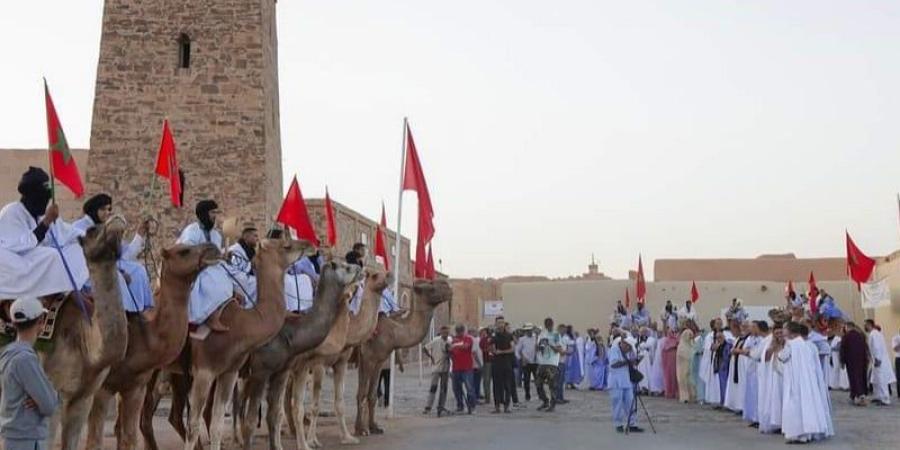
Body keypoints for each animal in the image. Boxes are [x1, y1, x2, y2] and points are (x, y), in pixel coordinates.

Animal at [236, 262, 362, 450]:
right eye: (346, 267)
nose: (360, 268)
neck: (291, 334)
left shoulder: (283, 371)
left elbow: (275, 414)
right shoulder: (262, 371)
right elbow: (253, 420)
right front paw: (307, 444)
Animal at [302, 268, 390, 448]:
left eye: (384, 271)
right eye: (374, 276)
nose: (389, 276)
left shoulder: (341, 362)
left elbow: (339, 403)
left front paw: (348, 437)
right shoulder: (319, 364)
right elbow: (315, 405)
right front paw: (312, 441)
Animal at [352, 278, 450, 436]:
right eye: (430, 287)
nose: (448, 287)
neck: (394, 332)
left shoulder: (377, 360)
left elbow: (371, 394)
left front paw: (373, 427)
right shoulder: (368, 358)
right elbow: (362, 393)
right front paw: (361, 430)